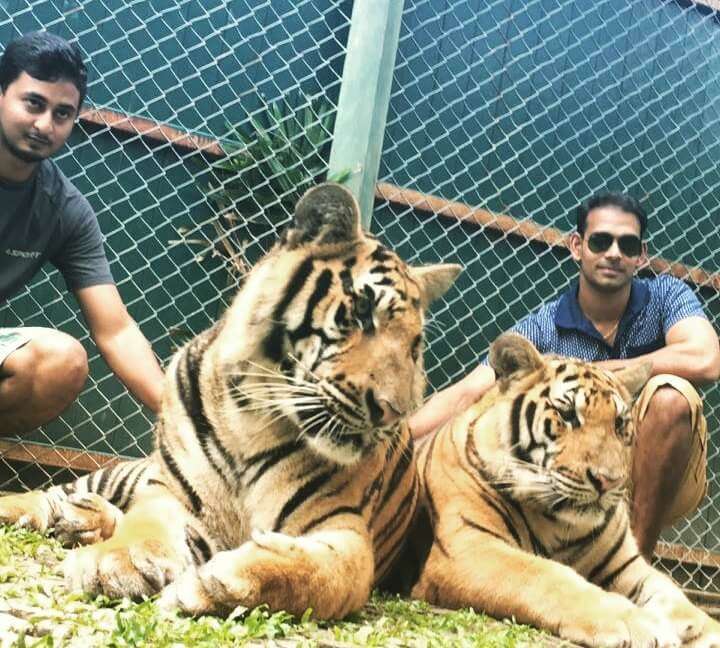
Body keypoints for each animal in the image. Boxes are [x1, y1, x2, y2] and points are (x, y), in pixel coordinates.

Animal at [0, 181, 462, 616]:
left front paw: (217, 583)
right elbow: (145, 523)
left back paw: (84, 520)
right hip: (128, 472)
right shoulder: (173, 491)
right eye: (364, 312)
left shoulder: (345, 530)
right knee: (56, 492)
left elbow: (317, 575)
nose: (394, 411)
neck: (252, 416)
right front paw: (117, 560)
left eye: (415, 347)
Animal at [410, 334, 720, 648]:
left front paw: (704, 630)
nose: (607, 481)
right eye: (568, 415)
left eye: (619, 423)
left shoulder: (626, 566)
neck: (561, 524)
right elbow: (549, 576)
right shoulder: (469, 546)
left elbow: (674, 596)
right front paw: (637, 622)